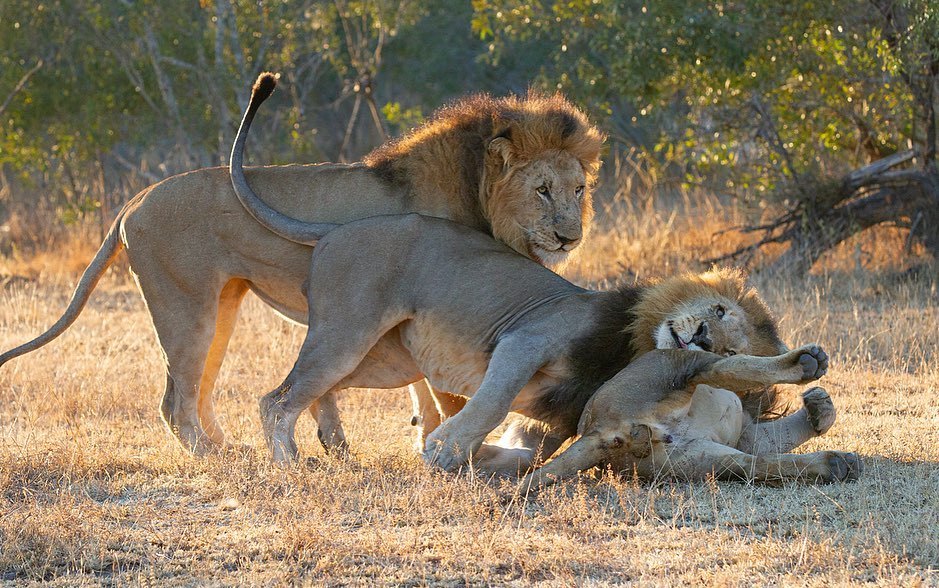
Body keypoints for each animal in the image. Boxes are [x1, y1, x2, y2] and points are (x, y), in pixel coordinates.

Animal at [0, 71, 604, 452]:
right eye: (543, 190)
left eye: (578, 189)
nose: (569, 237)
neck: (476, 190)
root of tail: (135, 200)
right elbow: (439, 394)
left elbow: (405, 393)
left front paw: (347, 442)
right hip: (185, 308)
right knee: (175, 401)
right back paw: (218, 458)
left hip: (223, 306)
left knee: (199, 389)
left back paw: (231, 447)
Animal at [237, 211, 860, 482]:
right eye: (720, 312)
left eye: (729, 328)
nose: (705, 333)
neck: (633, 334)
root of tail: (336, 229)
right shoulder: (524, 340)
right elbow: (489, 406)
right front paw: (444, 450)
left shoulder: (553, 416)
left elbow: (523, 447)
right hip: (352, 334)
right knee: (277, 400)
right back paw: (293, 467)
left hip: (382, 358)